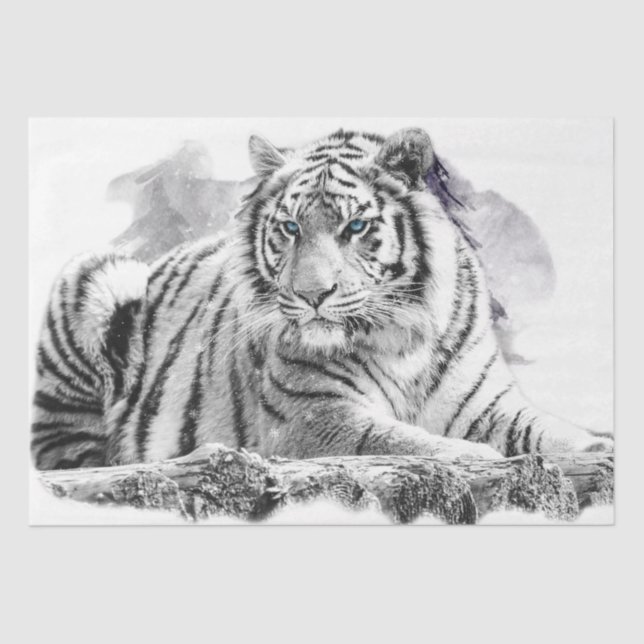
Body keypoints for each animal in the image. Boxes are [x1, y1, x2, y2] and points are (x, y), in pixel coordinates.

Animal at [31, 128, 613, 470]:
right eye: (289, 227)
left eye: (355, 226)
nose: (311, 294)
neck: (403, 342)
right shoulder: (314, 418)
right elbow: (400, 440)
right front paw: (475, 458)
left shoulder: (489, 405)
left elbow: (547, 429)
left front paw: (598, 445)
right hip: (97, 276)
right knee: (60, 447)